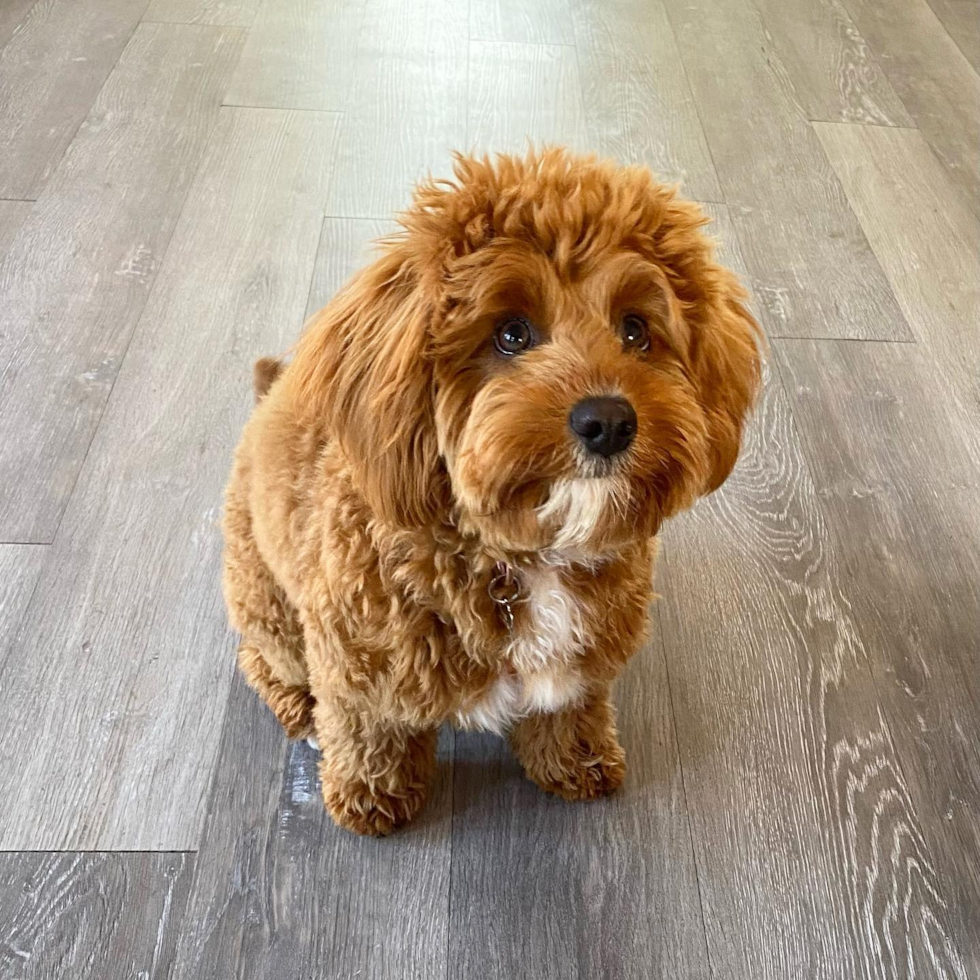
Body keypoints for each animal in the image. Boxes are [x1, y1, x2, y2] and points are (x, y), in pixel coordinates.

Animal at [224, 149, 764, 840]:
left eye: (636, 330)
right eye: (511, 333)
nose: (609, 421)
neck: (520, 555)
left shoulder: (582, 663)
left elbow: (569, 708)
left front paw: (575, 760)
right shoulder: (358, 661)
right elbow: (370, 733)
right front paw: (371, 797)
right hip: (268, 601)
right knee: (264, 660)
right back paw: (300, 710)